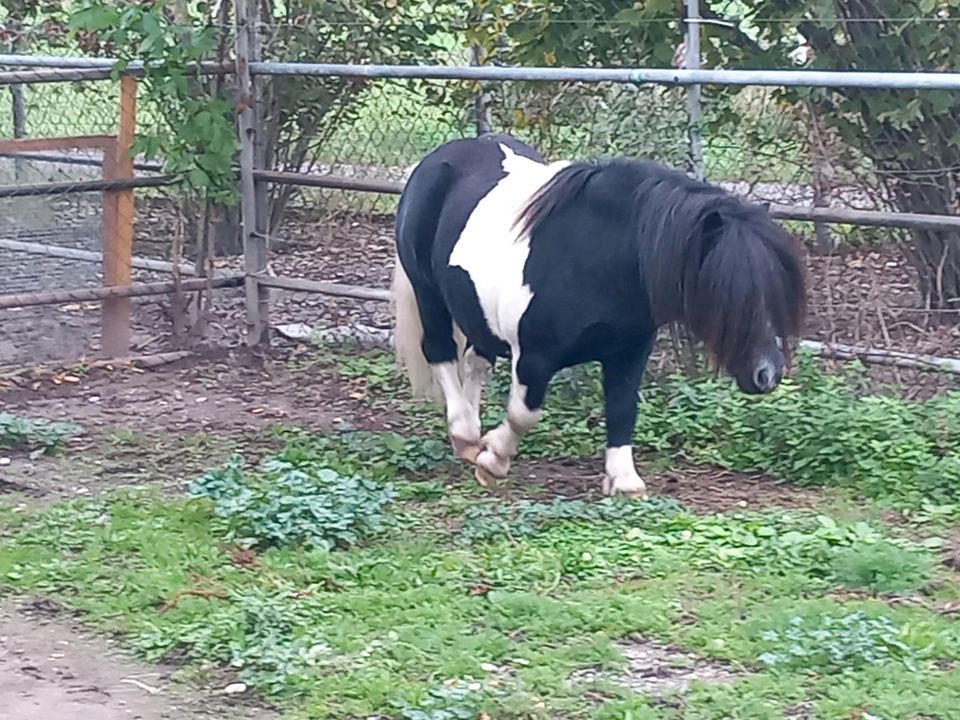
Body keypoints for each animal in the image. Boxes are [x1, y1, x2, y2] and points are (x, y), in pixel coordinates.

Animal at [388, 134, 804, 496]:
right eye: (727, 292)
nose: (769, 374)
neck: (595, 257)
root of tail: (439, 158)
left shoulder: (629, 353)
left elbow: (622, 409)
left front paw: (624, 480)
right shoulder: (534, 357)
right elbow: (524, 414)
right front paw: (494, 461)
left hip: (475, 308)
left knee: (476, 359)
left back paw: (473, 437)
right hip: (429, 294)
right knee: (440, 351)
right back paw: (464, 433)